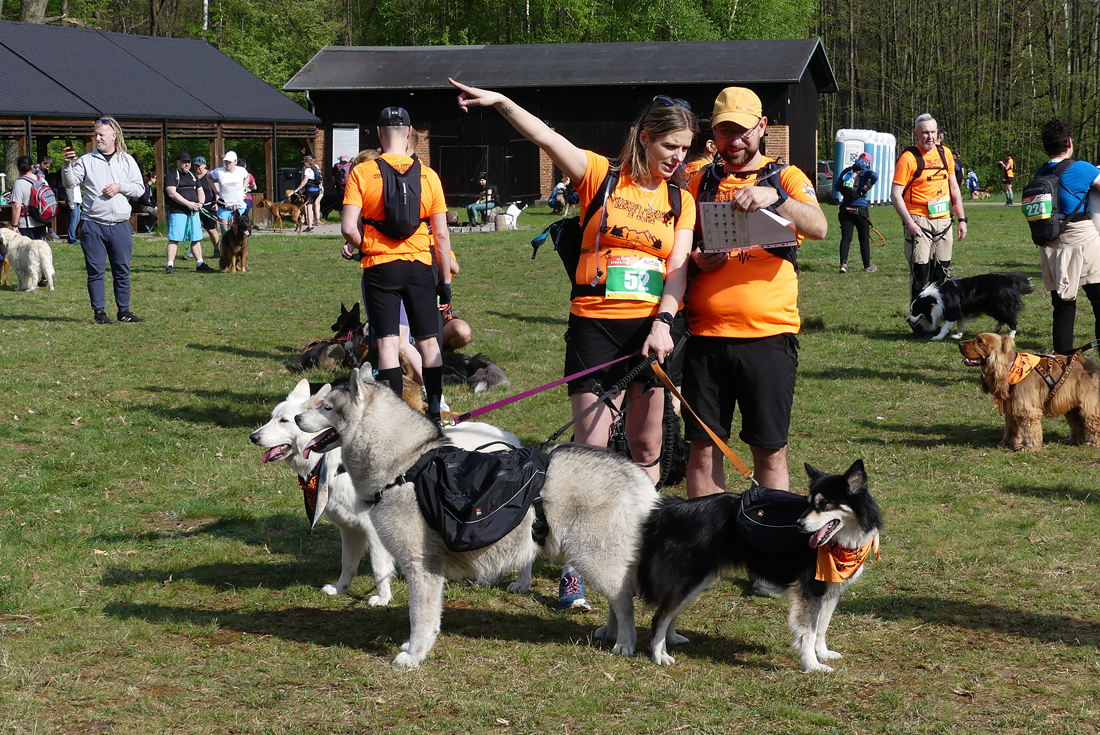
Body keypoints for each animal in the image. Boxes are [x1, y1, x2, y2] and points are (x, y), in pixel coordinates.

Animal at [250, 378, 522, 602]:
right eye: (273, 417)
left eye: (284, 421)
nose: (252, 437)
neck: (334, 464)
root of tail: (510, 438)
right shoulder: (349, 530)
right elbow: (347, 564)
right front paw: (340, 589)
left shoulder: (373, 529)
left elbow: (379, 567)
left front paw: (382, 598)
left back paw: (516, 582)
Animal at [295, 366, 659, 667]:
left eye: (326, 407)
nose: (298, 418)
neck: (406, 465)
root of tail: (637, 476)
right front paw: (416, 649)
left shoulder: (420, 567)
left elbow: (420, 618)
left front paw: (414, 656)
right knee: (616, 600)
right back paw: (610, 632)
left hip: (593, 557)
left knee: (624, 601)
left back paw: (625, 642)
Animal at [637, 460, 882, 673]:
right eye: (809, 503)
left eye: (824, 504)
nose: (800, 525)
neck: (841, 543)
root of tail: (671, 510)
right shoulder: (810, 590)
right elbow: (808, 631)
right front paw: (812, 666)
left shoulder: (830, 590)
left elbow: (821, 627)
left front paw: (822, 654)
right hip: (689, 577)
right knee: (659, 617)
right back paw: (659, 655)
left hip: (696, 580)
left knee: (670, 612)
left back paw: (671, 639)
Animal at [959, 333, 1100, 451]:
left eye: (980, 341)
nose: (959, 344)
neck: (1012, 367)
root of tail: (1094, 366)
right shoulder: (1010, 406)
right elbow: (1010, 427)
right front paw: (1007, 443)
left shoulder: (1026, 407)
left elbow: (1030, 428)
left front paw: (1030, 447)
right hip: (1072, 405)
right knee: (1077, 423)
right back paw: (1072, 441)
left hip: (1087, 404)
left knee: (1093, 420)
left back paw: (1093, 443)